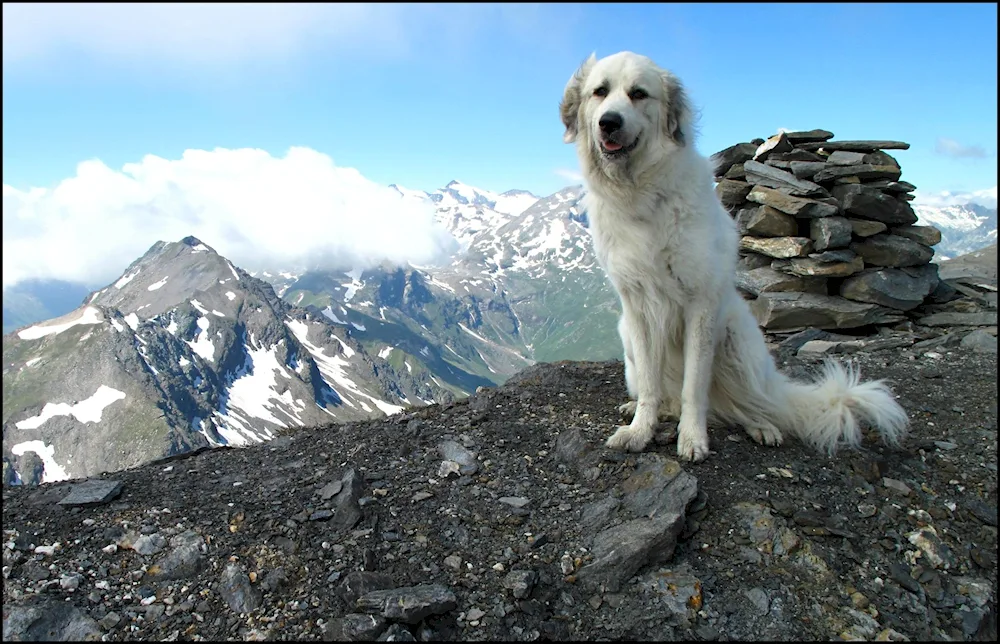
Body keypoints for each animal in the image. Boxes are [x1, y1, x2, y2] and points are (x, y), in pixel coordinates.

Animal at [560, 52, 912, 460]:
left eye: (638, 94)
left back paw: (762, 426)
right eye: (599, 92)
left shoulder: (700, 304)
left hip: (735, 340)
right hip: (627, 338)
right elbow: (650, 384)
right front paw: (640, 429)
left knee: (753, 405)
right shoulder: (637, 308)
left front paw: (692, 437)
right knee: (674, 397)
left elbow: (694, 386)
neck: (642, 197)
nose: (609, 122)